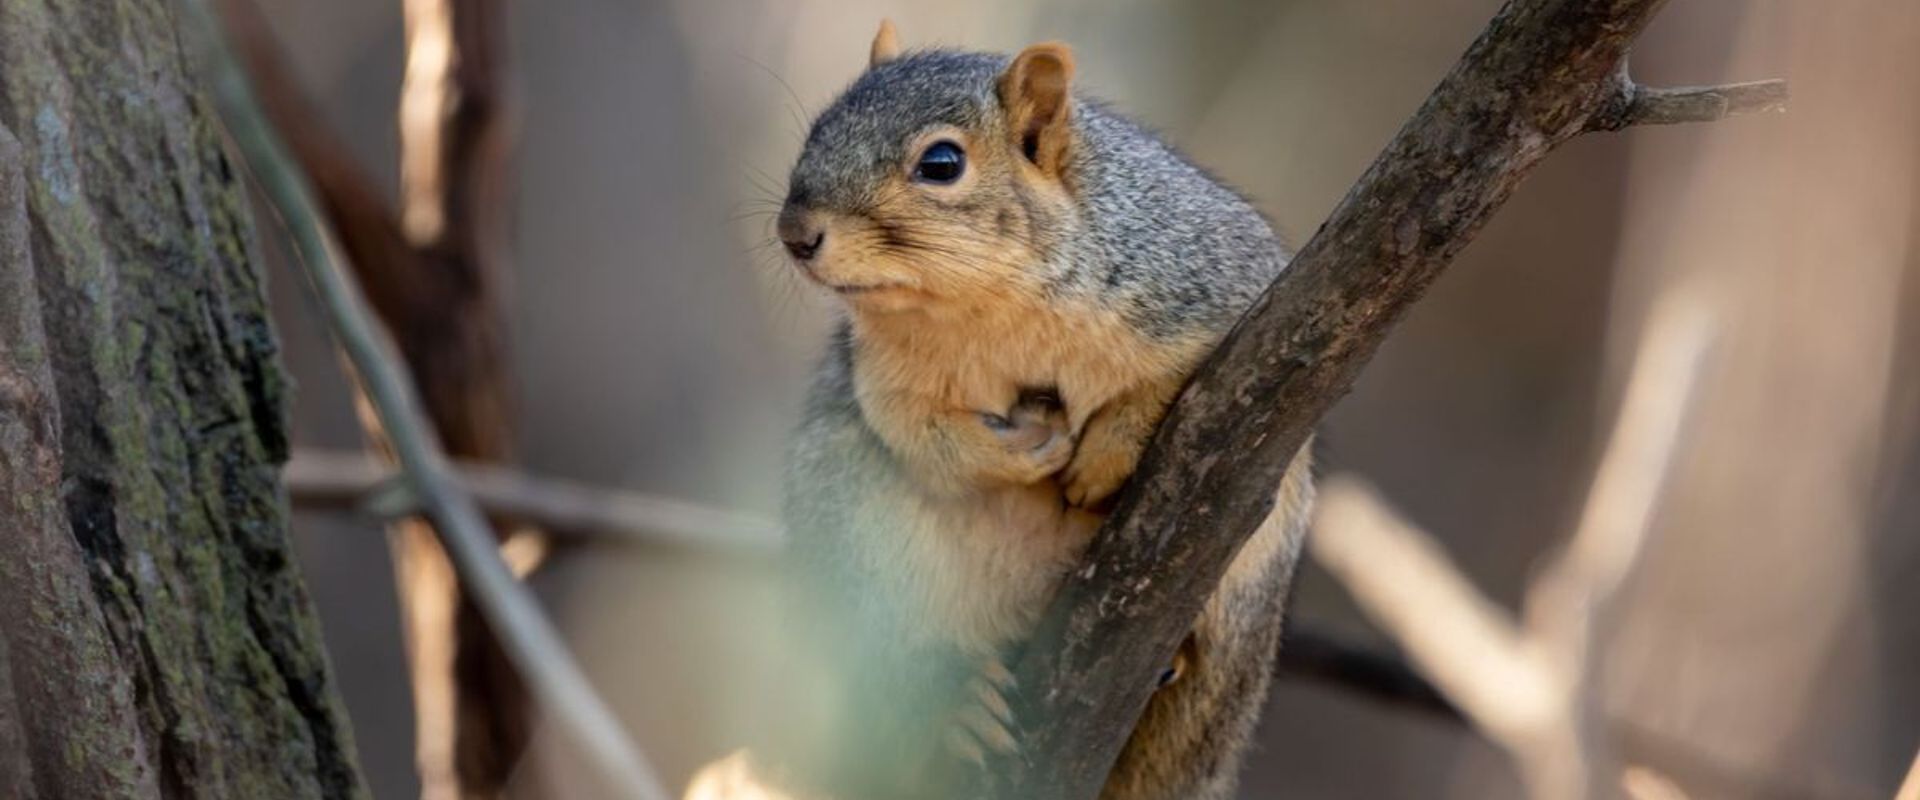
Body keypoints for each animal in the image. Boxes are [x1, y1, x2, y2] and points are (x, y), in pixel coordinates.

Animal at [753, 20, 1316, 800]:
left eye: (942, 163)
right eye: (818, 128)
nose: (795, 233)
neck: (988, 304)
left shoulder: (1224, 285)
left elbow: (1205, 373)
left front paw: (1107, 452)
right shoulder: (884, 379)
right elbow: (920, 438)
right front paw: (1020, 451)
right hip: (855, 554)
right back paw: (958, 704)